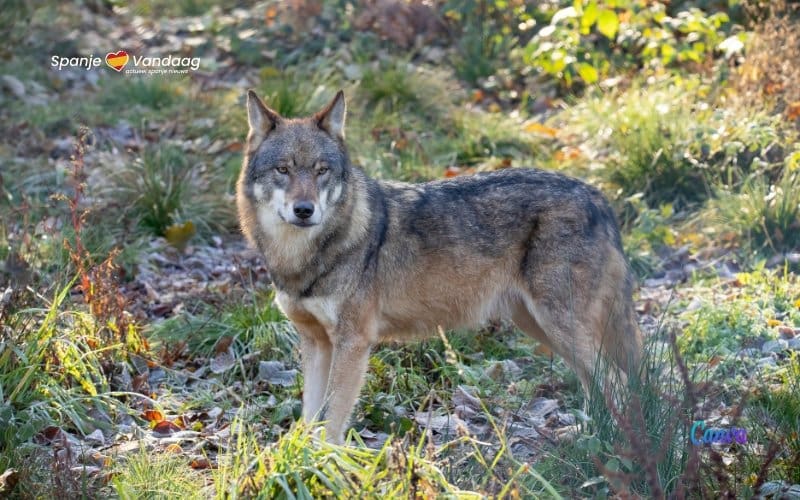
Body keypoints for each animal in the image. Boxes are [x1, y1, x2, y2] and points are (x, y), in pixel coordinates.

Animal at [237, 90, 643, 444]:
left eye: (321, 170)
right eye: (283, 170)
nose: (304, 210)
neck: (303, 258)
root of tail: (599, 198)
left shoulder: (353, 342)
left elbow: (333, 418)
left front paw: (326, 462)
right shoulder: (316, 342)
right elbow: (310, 416)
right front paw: (302, 456)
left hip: (559, 325)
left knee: (619, 383)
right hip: (542, 327)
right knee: (599, 383)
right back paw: (587, 437)